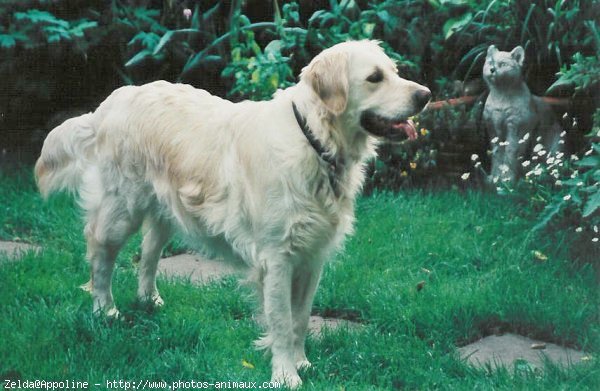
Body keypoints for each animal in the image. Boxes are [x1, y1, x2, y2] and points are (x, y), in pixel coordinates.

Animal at [35, 40, 432, 388]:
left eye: (395, 72)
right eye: (374, 77)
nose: (425, 95)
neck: (314, 141)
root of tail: (114, 99)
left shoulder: (312, 257)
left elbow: (301, 319)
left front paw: (302, 362)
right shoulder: (277, 257)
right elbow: (282, 322)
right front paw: (286, 374)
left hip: (166, 211)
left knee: (147, 253)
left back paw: (149, 302)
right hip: (121, 209)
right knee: (101, 256)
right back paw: (106, 311)